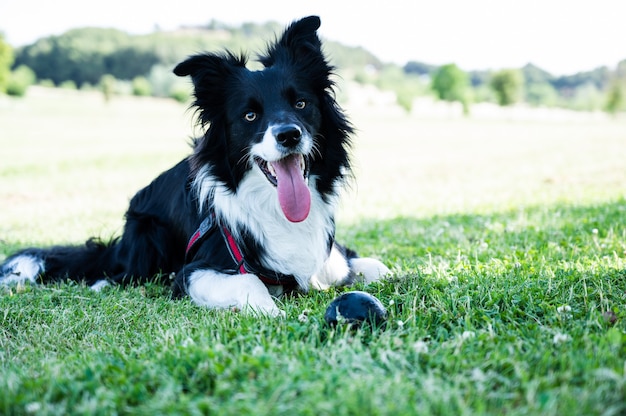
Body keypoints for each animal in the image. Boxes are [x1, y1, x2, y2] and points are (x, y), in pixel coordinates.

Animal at [0, 16, 388, 316]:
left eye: (301, 103)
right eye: (249, 115)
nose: (289, 135)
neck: (275, 211)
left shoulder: (330, 255)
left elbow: (376, 265)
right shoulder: (195, 270)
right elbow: (249, 280)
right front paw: (274, 313)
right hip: (147, 234)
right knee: (115, 271)